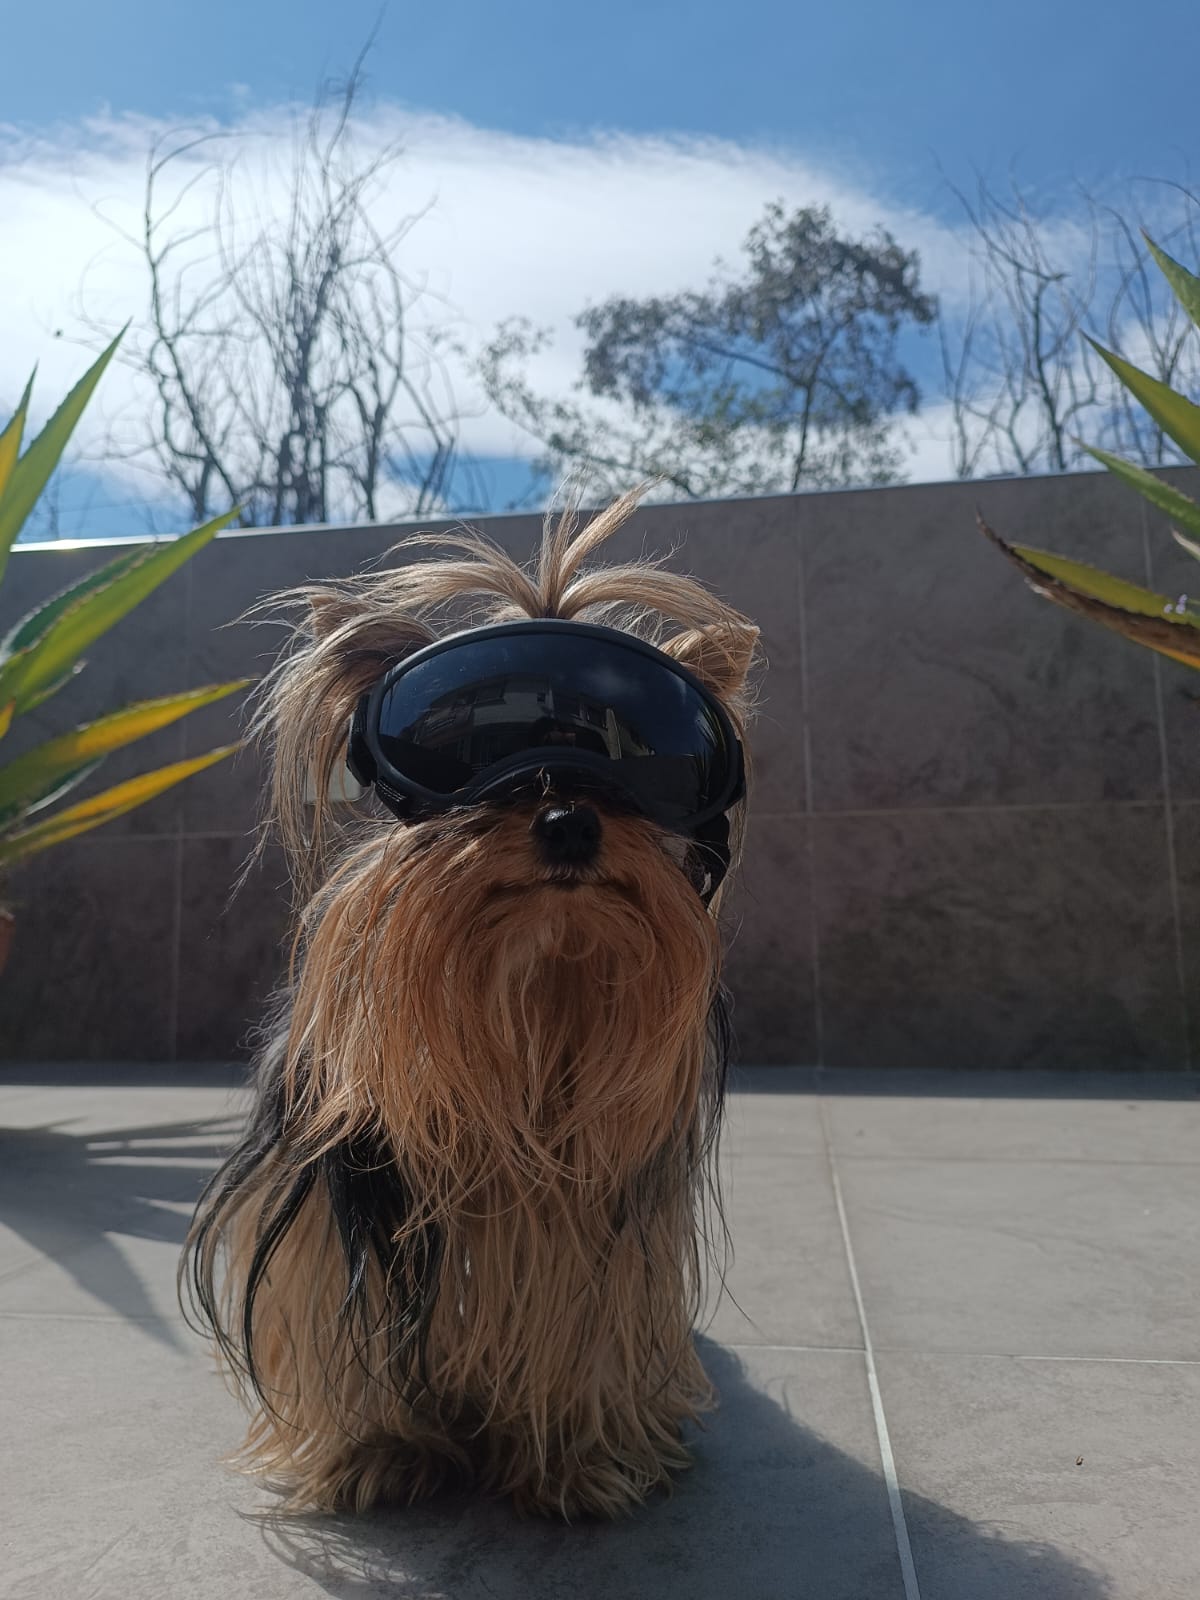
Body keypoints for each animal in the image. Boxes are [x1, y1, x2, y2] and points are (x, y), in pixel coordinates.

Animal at [182, 488, 759, 1519]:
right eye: (478, 748)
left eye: (637, 763)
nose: (568, 819)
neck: (528, 981)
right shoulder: (339, 1200)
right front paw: (375, 1452)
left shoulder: (596, 1222)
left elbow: (582, 1318)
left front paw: (579, 1460)